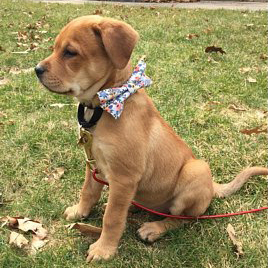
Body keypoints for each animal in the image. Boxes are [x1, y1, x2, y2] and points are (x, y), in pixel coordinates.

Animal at [35, 15, 268, 262]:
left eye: (70, 52)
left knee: (183, 218)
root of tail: (212, 188)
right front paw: (80, 212)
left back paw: (154, 228)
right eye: (55, 48)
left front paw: (104, 249)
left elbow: (112, 218)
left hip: (196, 170)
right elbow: (88, 191)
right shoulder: (93, 163)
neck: (106, 105)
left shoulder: (124, 177)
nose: (36, 70)